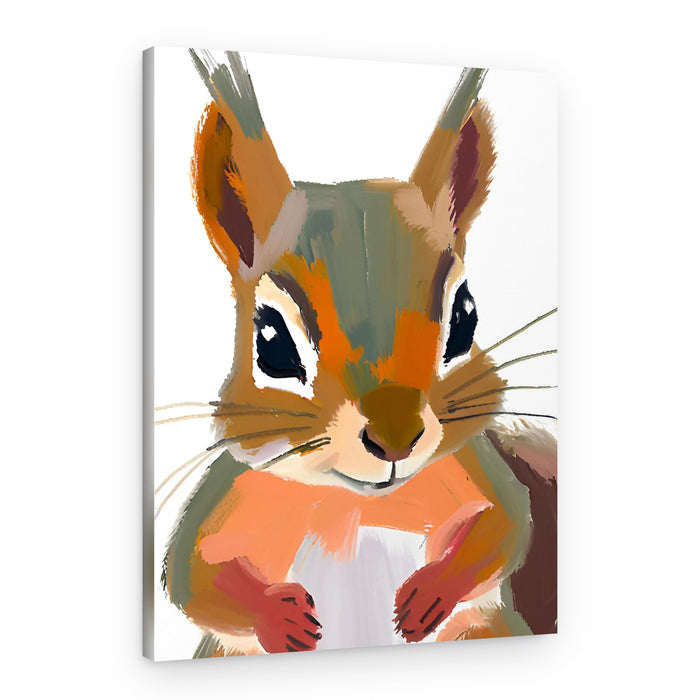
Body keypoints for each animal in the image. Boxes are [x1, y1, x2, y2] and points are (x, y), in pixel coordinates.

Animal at [159, 49, 557, 657]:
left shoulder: (474, 471)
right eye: (270, 341)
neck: (353, 503)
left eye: (466, 316)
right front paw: (280, 620)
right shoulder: (230, 493)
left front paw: (429, 595)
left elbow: (509, 522)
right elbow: (187, 576)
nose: (396, 438)